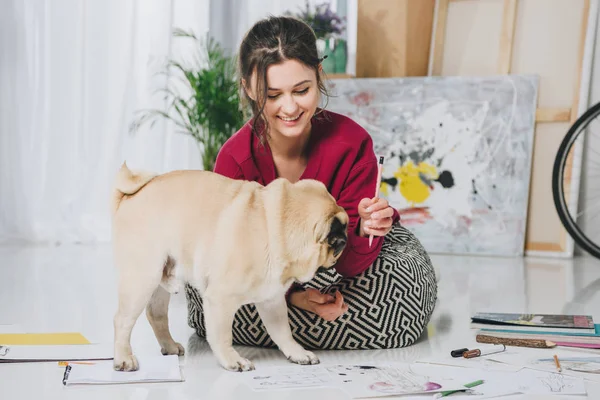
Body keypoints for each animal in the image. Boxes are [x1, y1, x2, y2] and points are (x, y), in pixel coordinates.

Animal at [110, 162, 350, 372]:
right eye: (337, 240)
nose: (346, 239)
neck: (275, 227)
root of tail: (129, 195)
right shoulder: (220, 299)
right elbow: (222, 336)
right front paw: (233, 360)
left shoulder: (272, 301)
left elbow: (283, 332)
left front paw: (297, 353)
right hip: (142, 278)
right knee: (122, 320)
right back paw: (124, 359)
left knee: (156, 314)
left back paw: (168, 345)